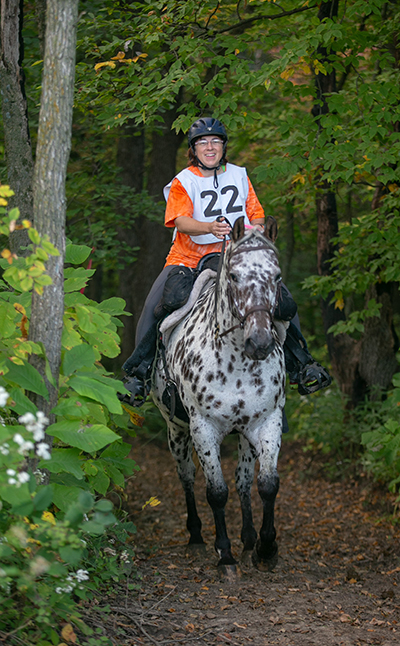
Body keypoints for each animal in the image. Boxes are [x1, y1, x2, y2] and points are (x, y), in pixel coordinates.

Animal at [152, 219, 286, 576]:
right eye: (235, 276)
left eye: (277, 276)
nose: (260, 341)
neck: (235, 360)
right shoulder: (203, 428)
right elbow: (216, 492)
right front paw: (224, 553)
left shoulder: (267, 421)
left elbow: (266, 484)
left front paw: (266, 548)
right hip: (176, 430)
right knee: (186, 476)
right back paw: (197, 537)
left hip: (243, 434)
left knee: (242, 480)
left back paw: (249, 540)